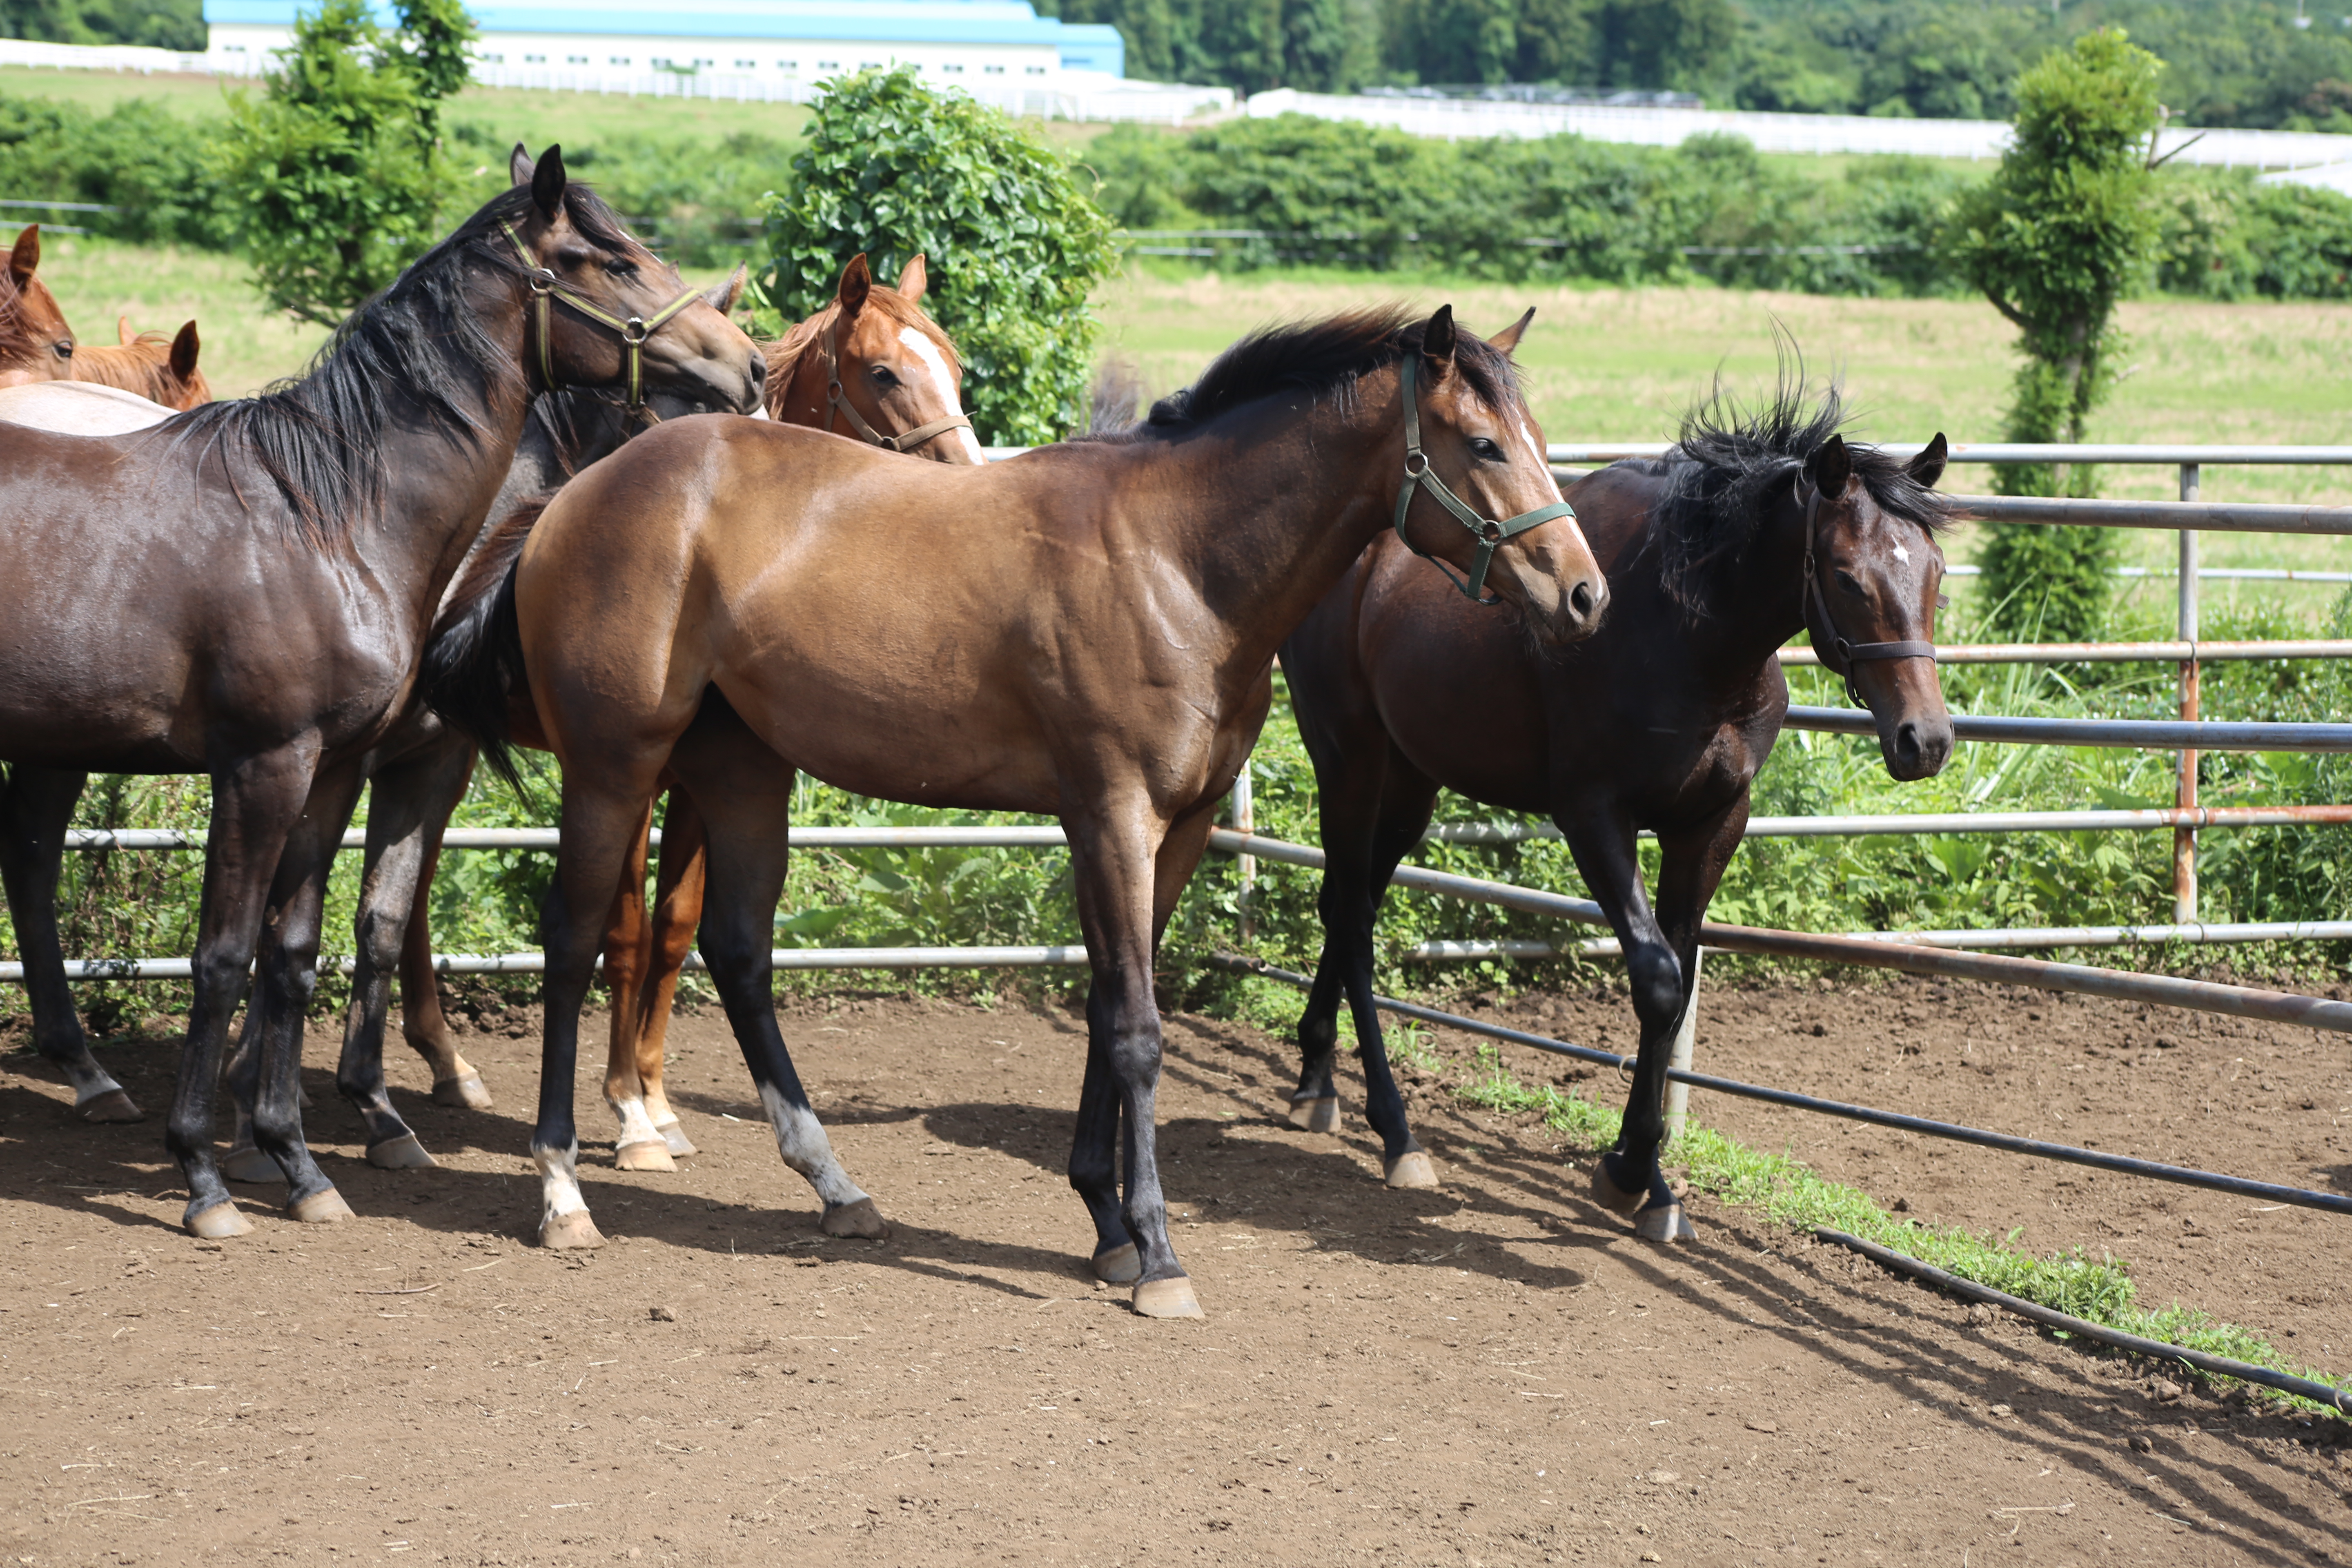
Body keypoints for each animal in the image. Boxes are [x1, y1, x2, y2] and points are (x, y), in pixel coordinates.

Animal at [0, 150, 762, 1241]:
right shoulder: (263, 768)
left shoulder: (337, 769)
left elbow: (299, 948)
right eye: (610, 259)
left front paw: (299, 1160)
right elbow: (224, 955)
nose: (745, 366)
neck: (323, 516)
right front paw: (206, 1175)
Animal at [432, 303, 1608, 1316]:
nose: (1586, 594)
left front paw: (1107, 1226)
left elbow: (1109, 1005)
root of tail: (584, 492)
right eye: (1481, 443)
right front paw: (1157, 1255)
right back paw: (565, 1190)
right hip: (616, 766)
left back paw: (835, 1185)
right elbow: (1137, 1030)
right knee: (576, 937)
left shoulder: (1172, 832)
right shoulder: (1115, 817)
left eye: (1537, 437)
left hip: (742, 772)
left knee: (737, 952)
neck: (1178, 563)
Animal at [1279, 369, 1957, 1241]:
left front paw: (1657, 1186)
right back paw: (1394, 1130)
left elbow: (1679, 985)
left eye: (1937, 573)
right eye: (1845, 574)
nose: (1925, 740)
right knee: (1354, 917)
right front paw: (1627, 1171)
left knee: (1346, 904)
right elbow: (1658, 980)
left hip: (1409, 785)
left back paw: (1317, 1075)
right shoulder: (1595, 818)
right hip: (1350, 762)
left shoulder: (1711, 824)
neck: (1686, 634)